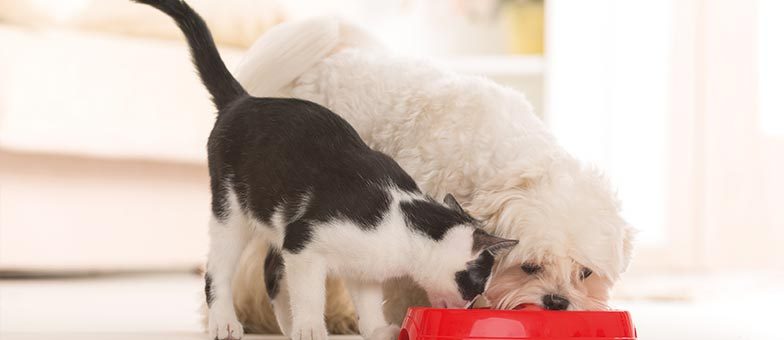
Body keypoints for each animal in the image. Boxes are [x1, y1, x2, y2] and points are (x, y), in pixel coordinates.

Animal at [132, 0, 516, 340]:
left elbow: (368, 301)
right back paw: (227, 324)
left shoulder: (362, 268)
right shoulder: (304, 243)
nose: (474, 307)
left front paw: (375, 330)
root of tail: (244, 99)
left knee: (270, 269)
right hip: (231, 211)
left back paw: (286, 326)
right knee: (218, 271)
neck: (402, 219)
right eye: (476, 285)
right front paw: (311, 328)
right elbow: (309, 292)